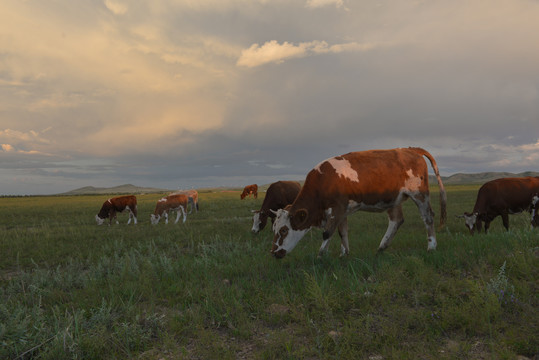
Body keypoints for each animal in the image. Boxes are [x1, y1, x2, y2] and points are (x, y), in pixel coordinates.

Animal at [270, 147, 448, 258]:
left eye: (284, 230)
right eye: (274, 229)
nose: (273, 253)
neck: (323, 180)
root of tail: (410, 149)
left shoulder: (337, 208)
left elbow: (327, 232)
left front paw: (321, 255)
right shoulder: (342, 211)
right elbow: (342, 232)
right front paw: (344, 254)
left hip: (419, 194)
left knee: (428, 217)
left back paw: (431, 246)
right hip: (394, 198)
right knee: (396, 220)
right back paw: (381, 248)